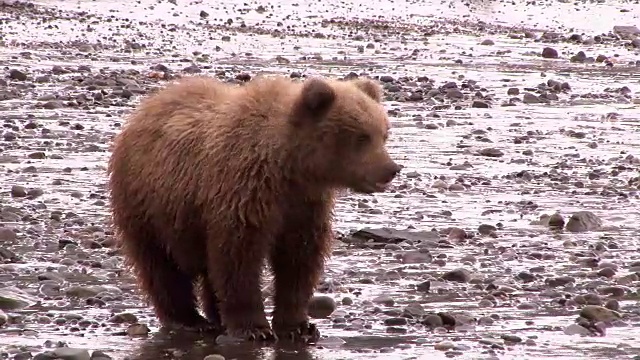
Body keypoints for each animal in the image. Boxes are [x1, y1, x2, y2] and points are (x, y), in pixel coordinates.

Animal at [109, 73, 400, 344]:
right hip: (148, 206)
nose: (391, 169)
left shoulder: (303, 206)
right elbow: (239, 259)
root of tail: (145, 108)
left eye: (384, 133)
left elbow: (299, 260)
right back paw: (189, 320)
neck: (291, 167)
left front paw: (299, 325)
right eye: (361, 137)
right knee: (162, 267)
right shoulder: (245, 193)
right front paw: (254, 328)